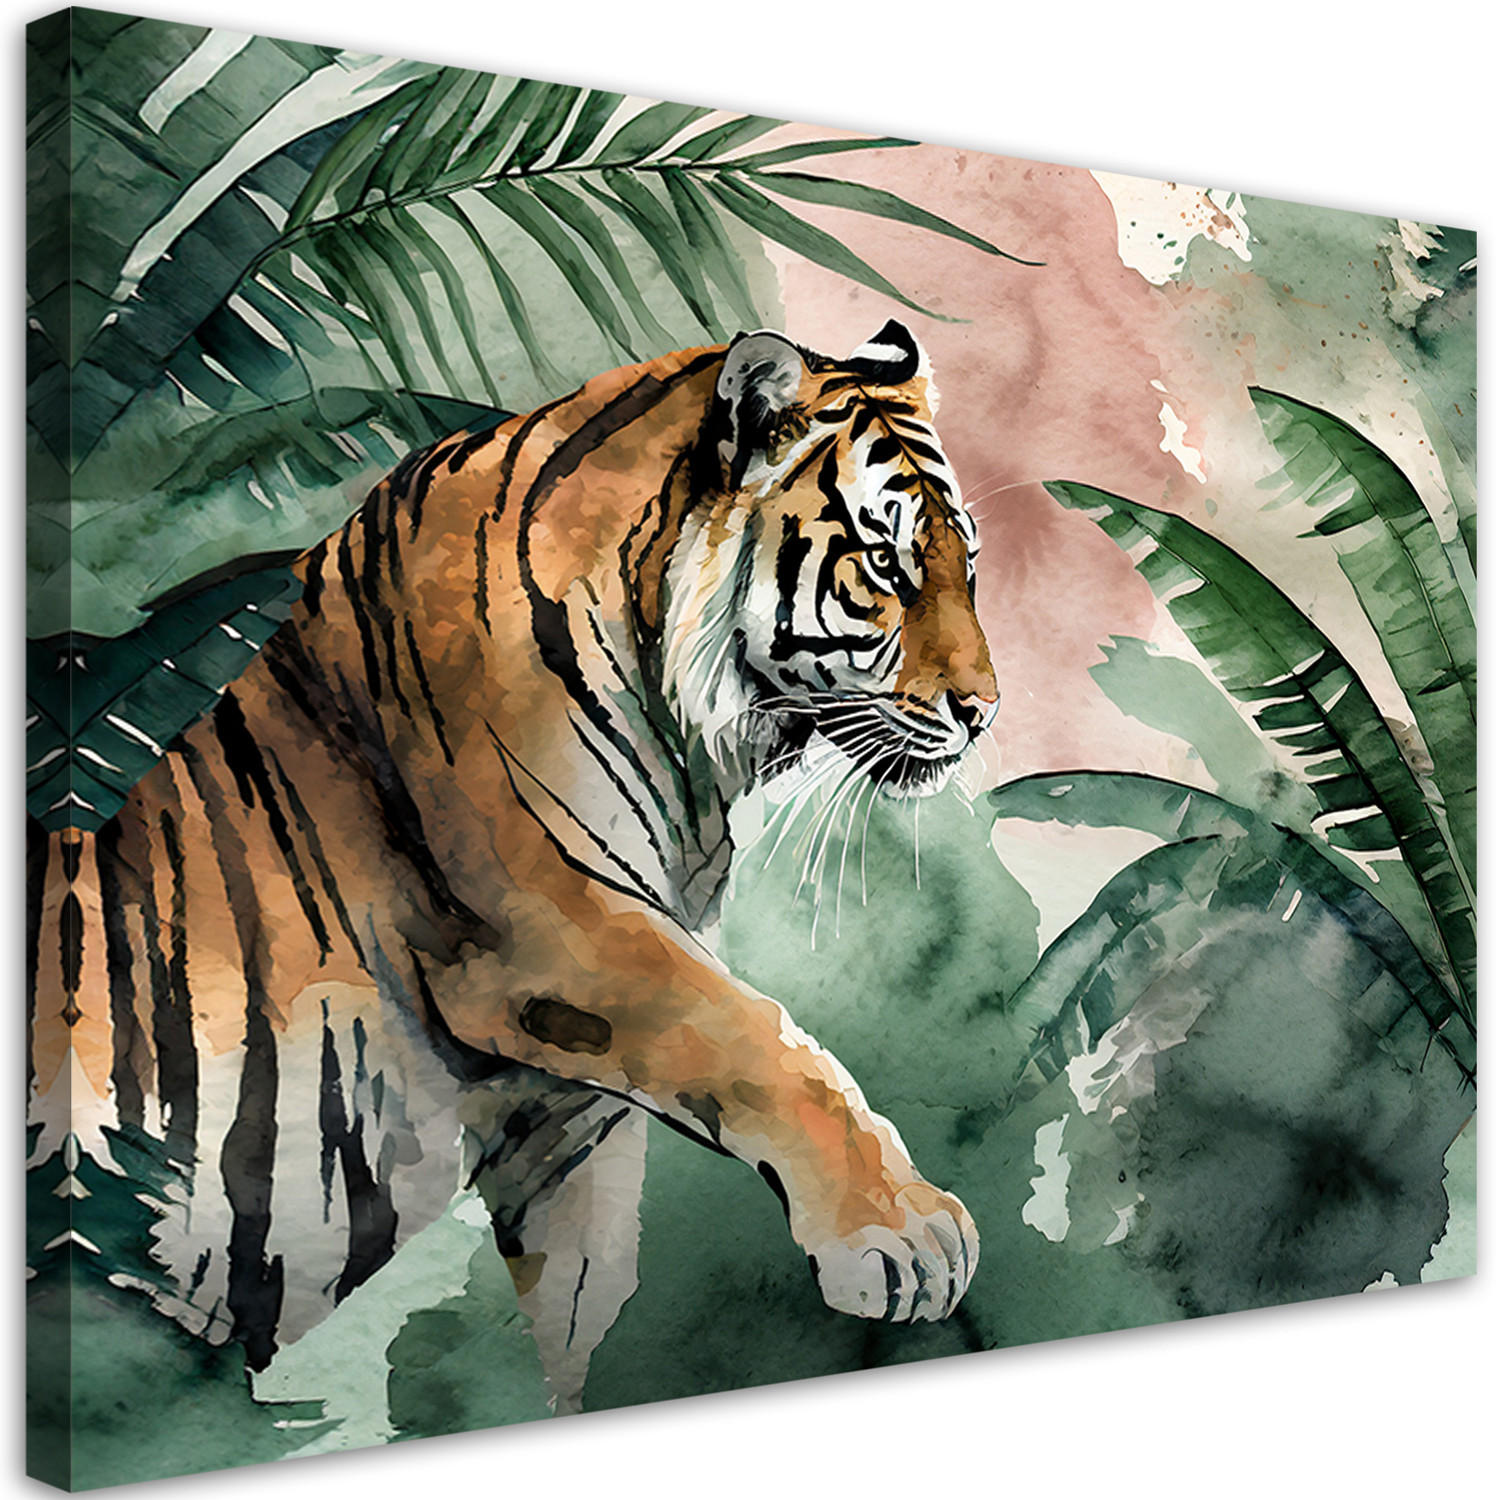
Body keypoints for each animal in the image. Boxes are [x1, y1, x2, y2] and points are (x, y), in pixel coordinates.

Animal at [28, 318, 1000, 1417]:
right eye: (882, 562)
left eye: (968, 562)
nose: (985, 708)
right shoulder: (554, 932)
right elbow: (762, 1039)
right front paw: (903, 1232)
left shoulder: (567, 1110)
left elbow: (579, 1310)